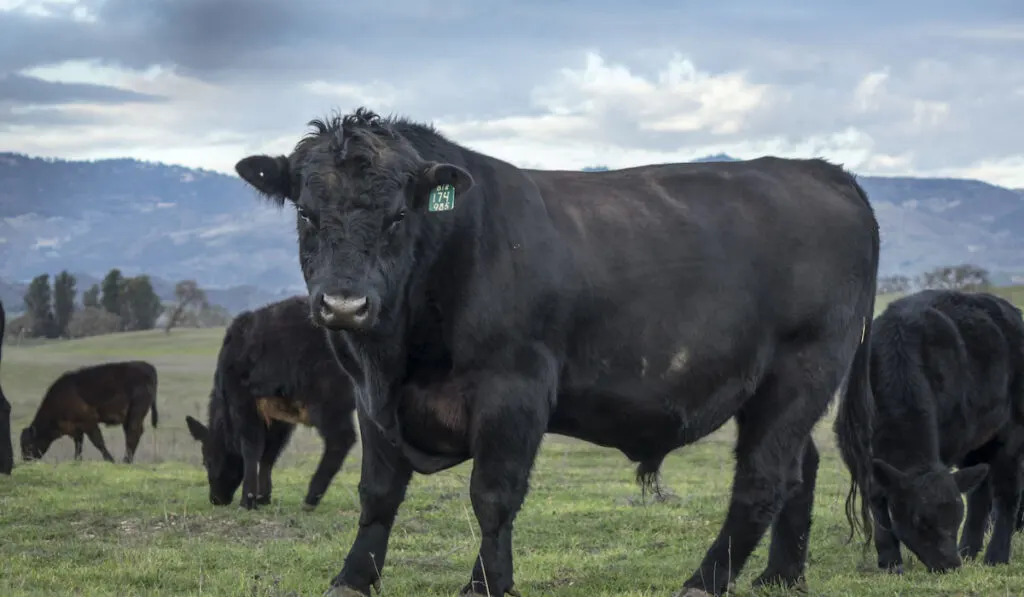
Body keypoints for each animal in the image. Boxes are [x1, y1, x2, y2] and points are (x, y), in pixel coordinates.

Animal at [19, 358, 158, 464]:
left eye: (28, 445)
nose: (26, 460)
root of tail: (148, 367)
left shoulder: (89, 422)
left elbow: (98, 442)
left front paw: (110, 460)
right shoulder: (76, 428)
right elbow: (78, 445)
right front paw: (77, 461)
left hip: (136, 412)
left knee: (133, 433)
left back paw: (126, 461)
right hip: (129, 417)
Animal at [185, 296, 360, 512]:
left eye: (207, 461)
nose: (216, 499)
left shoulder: (244, 404)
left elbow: (251, 449)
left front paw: (248, 499)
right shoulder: (280, 418)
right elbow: (269, 454)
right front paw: (263, 497)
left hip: (328, 401)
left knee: (341, 439)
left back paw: (310, 499)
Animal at [234, 108, 880, 597]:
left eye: (397, 216)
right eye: (306, 212)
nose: (344, 304)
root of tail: (825, 173)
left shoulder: (513, 390)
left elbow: (493, 496)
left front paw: (486, 586)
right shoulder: (372, 399)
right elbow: (377, 493)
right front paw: (352, 578)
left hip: (801, 371)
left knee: (762, 479)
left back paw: (705, 582)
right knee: (799, 468)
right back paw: (780, 577)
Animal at [839, 288, 1024, 573]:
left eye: (954, 519)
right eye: (919, 521)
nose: (951, 564)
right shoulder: (858, 457)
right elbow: (877, 498)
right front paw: (890, 561)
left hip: (1011, 434)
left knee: (1007, 494)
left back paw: (996, 556)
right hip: (977, 443)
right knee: (979, 491)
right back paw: (969, 549)